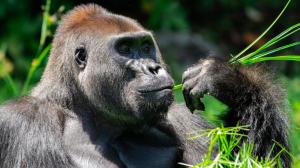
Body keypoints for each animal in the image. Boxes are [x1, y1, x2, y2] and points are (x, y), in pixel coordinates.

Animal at [0, 3, 290, 168]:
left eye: (146, 47)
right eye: (126, 49)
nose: (153, 68)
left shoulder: (182, 120)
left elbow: (253, 161)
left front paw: (226, 80)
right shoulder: (24, 122)